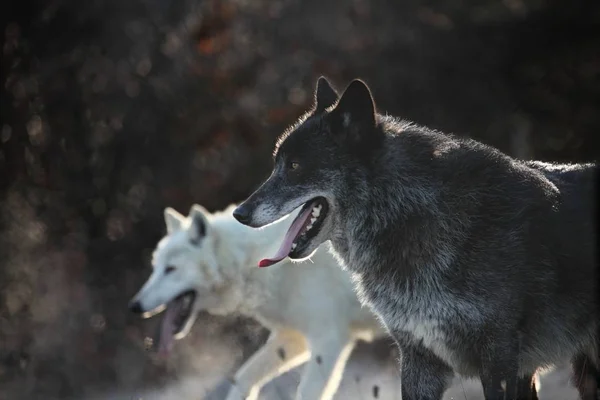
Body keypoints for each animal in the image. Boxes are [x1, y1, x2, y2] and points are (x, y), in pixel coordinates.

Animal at [129, 205, 386, 398]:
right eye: (156, 268)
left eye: (171, 269)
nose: (134, 306)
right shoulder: (293, 337)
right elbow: (243, 376)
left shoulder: (329, 340)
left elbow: (307, 392)